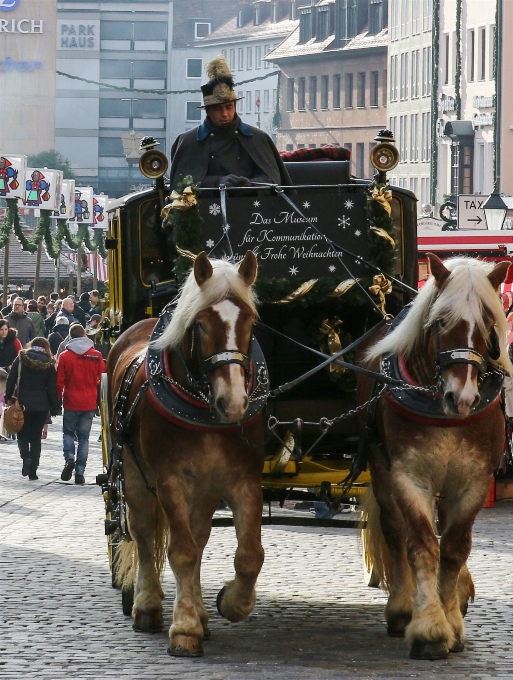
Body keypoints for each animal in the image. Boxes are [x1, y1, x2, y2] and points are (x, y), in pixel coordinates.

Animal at [109, 252, 266, 656]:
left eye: (250, 321)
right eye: (201, 325)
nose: (234, 403)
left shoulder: (244, 480)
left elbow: (249, 555)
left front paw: (229, 603)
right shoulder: (170, 482)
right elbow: (179, 551)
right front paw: (183, 628)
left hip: (205, 490)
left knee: (199, 537)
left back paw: (200, 611)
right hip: (132, 473)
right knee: (144, 533)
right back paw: (148, 607)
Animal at [358, 254, 510, 660]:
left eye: (488, 322)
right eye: (441, 321)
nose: (464, 398)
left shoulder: (474, 483)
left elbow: (454, 548)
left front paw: (452, 621)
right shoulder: (410, 479)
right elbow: (423, 547)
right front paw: (428, 627)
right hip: (380, 465)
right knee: (396, 531)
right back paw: (401, 608)